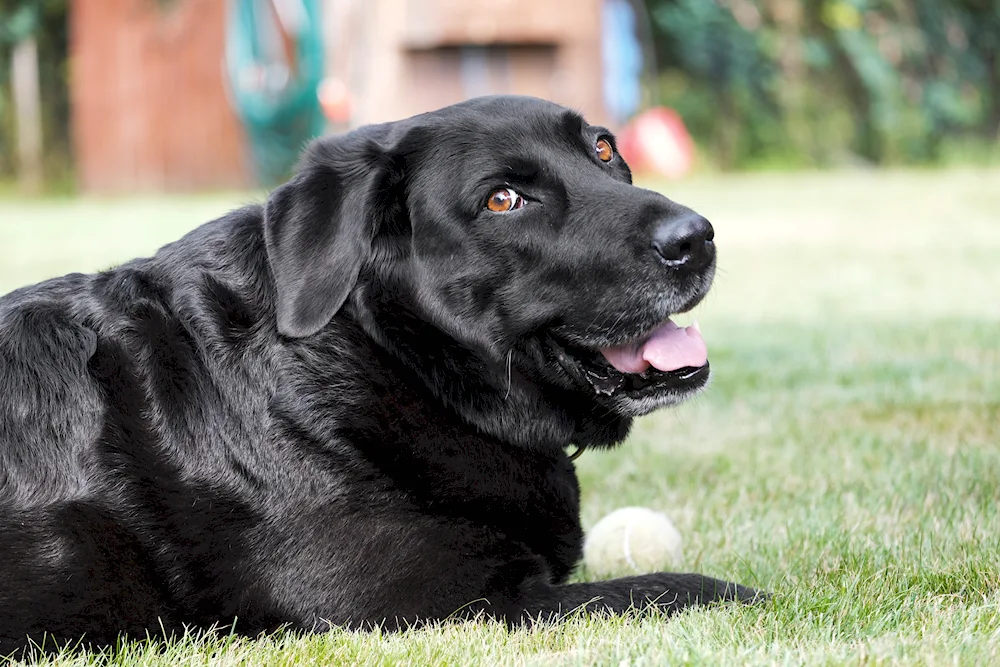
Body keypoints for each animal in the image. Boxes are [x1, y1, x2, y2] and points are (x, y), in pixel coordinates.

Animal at [0, 94, 756, 652]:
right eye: (504, 199)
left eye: (604, 149)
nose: (696, 237)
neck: (384, 353)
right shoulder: (458, 601)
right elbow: (679, 587)